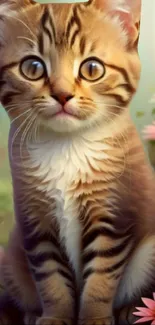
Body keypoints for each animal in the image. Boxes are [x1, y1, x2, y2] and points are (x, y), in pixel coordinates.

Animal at [0, 0, 155, 324]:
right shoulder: (35, 223)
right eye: (32, 68)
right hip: (11, 259)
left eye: (92, 68)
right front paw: (54, 316)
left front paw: (94, 317)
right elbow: (50, 278)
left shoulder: (113, 218)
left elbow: (101, 276)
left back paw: (128, 310)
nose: (62, 95)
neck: (67, 148)